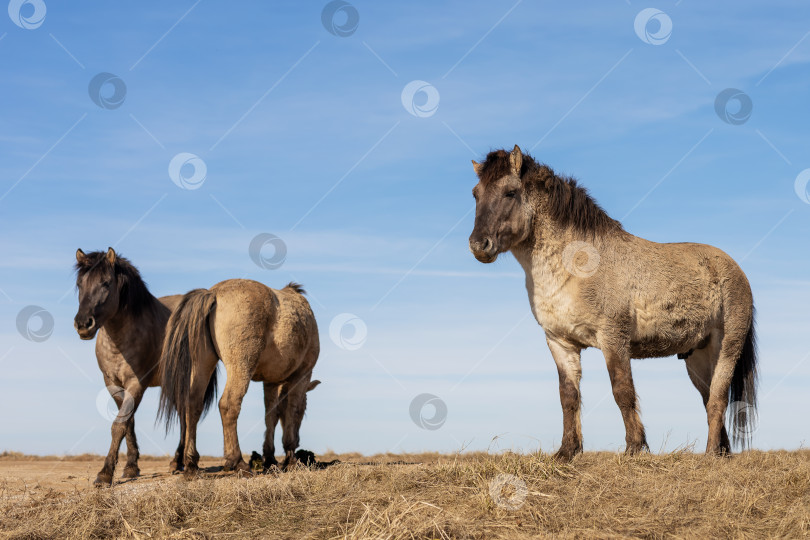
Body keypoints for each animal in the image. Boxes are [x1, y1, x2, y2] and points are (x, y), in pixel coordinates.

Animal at [73, 248, 218, 486]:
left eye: (106, 283)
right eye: (79, 284)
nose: (83, 324)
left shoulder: (137, 383)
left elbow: (119, 425)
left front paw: (105, 473)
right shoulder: (113, 384)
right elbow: (128, 422)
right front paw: (131, 466)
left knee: (190, 413)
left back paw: (187, 463)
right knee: (183, 416)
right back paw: (176, 462)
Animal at [158, 279, 320, 478]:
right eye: (306, 412)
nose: (298, 441)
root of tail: (213, 293)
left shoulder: (271, 382)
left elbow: (271, 415)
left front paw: (270, 459)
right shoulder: (302, 375)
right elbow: (292, 410)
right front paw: (291, 460)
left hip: (202, 365)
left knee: (193, 406)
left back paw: (191, 464)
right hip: (241, 368)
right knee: (228, 405)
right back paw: (237, 462)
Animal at [468, 146, 757, 460]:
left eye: (510, 192)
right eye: (475, 194)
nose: (478, 245)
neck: (577, 264)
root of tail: (735, 269)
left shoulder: (613, 338)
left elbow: (622, 391)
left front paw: (634, 448)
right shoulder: (560, 342)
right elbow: (568, 396)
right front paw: (567, 451)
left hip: (726, 347)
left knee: (718, 398)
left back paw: (709, 454)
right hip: (698, 356)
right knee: (709, 399)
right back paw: (722, 453)